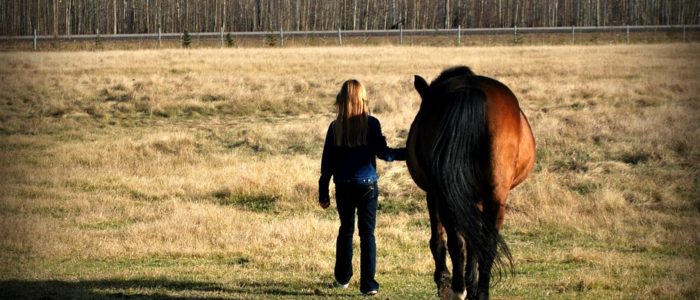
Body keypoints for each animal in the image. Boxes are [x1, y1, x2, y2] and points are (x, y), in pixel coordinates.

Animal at [404, 66, 536, 300]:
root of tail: (470, 89)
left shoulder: (433, 193)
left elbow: (440, 238)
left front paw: (444, 280)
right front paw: (470, 284)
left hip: (446, 196)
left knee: (458, 241)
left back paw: (458, 288)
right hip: (495, 196)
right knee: (486, 242)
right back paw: (478, 292)